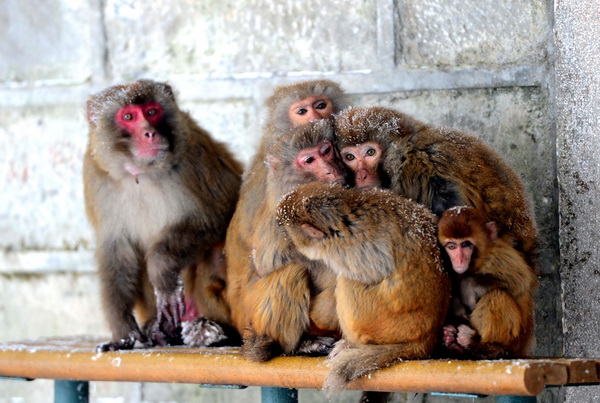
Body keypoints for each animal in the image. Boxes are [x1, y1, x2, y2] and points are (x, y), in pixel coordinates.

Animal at [84, 78, 244, 350]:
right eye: (128, 116)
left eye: (151, 111)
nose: (150, 133)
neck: (142, 173)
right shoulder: (97, 178)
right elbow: (118, 250)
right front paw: (123, 333)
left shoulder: (195, 159)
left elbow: (217, 216)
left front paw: (161, 268)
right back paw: (160, 331)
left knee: (215, 249)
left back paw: (214, 329)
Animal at [434, 207, 536, 358]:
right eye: (451, 246)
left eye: (465, 244)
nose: (459, 260)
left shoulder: (497, 255)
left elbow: (519, 280)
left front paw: (467, 286)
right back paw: (453, 341)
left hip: (515, 342)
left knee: (497, 294)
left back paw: (482, 346)